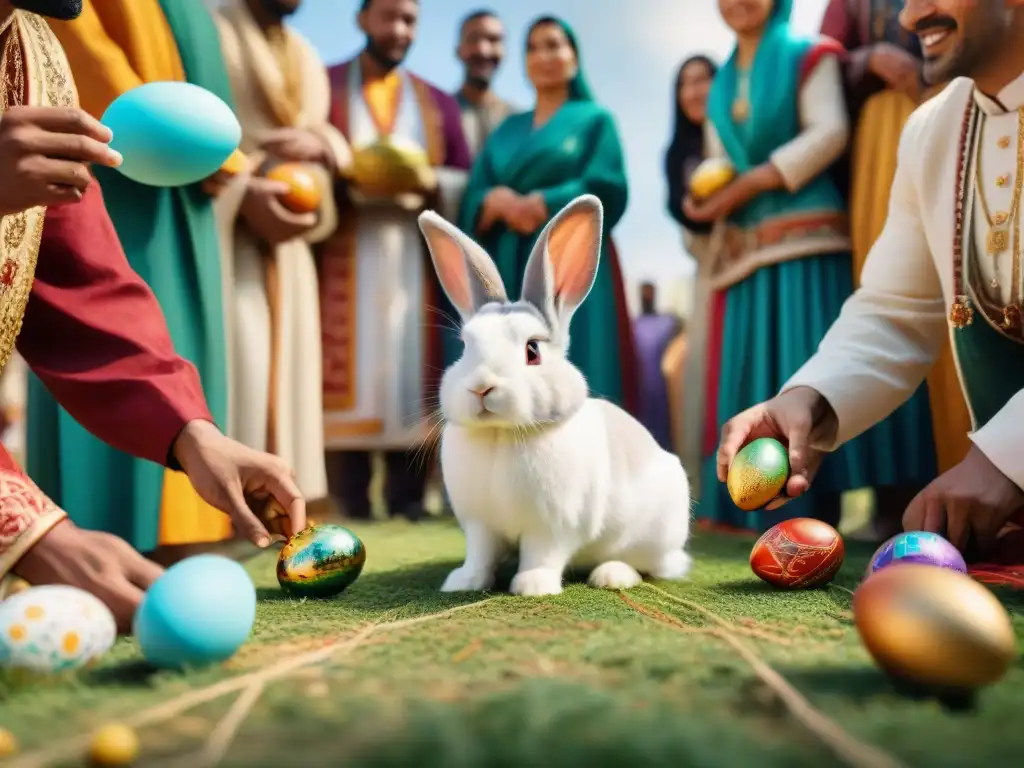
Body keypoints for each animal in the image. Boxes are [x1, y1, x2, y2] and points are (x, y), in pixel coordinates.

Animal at [419, 195, 692, 598]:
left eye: (532, 350)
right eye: (465, 346)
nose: (482, 386)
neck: (501, 434)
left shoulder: (553, 526)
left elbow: (542, 554)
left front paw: (532, 586)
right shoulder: (480, 525)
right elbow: (480, 555)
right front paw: (463, 583)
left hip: (652, 535)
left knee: (649, 566)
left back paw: (612, 575)